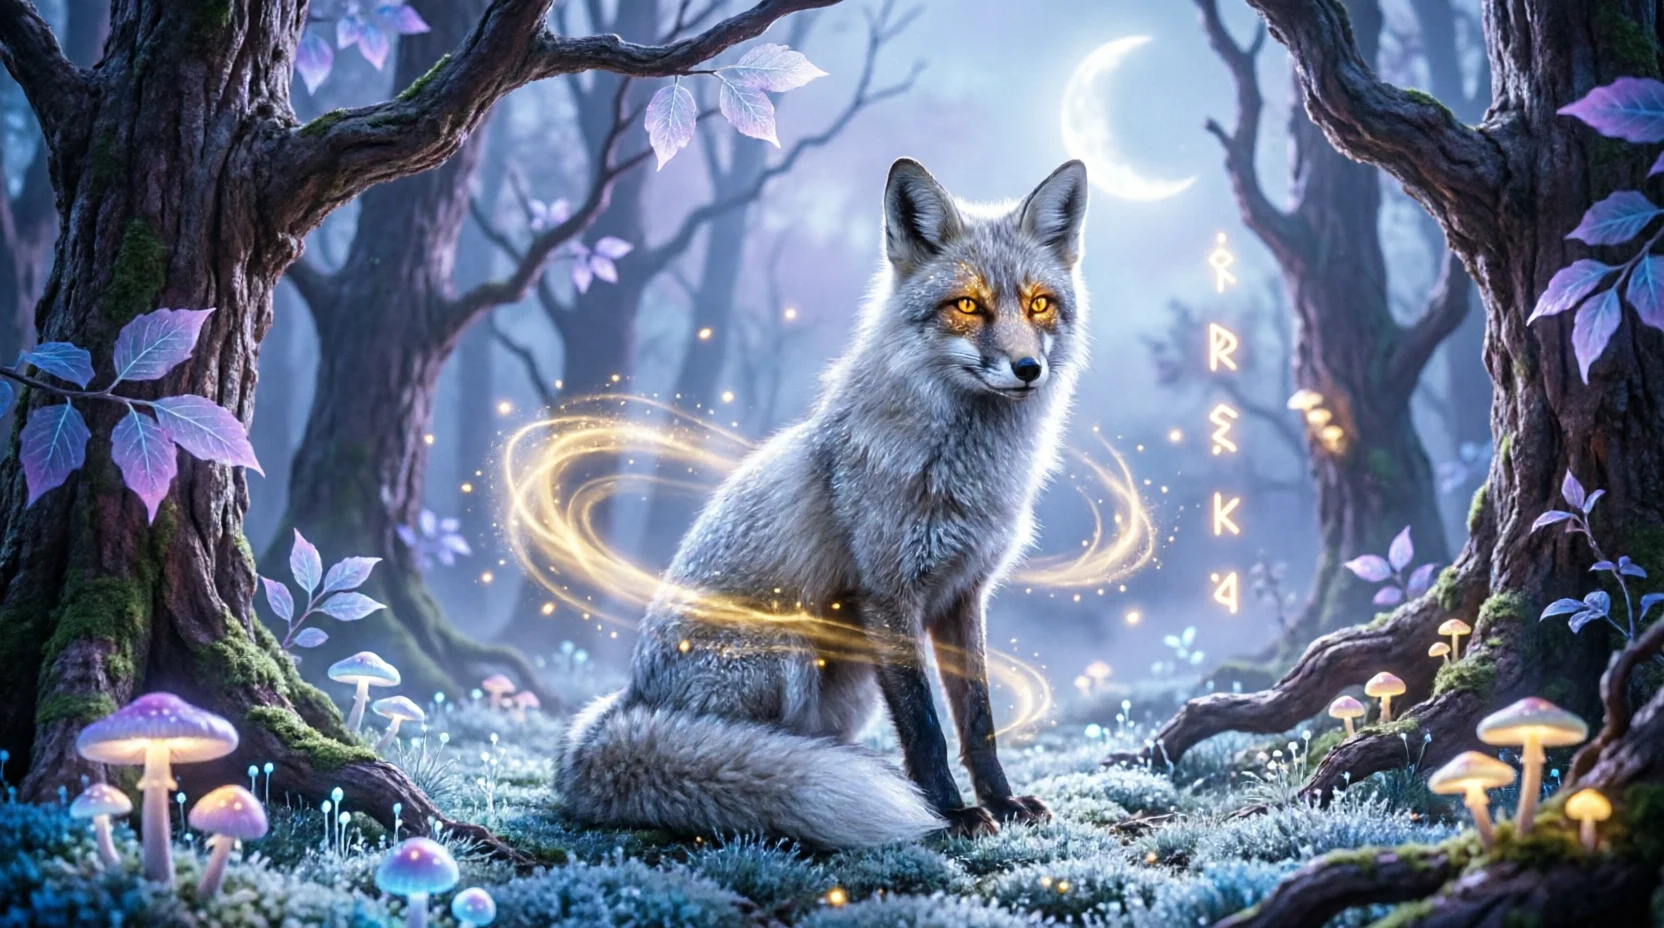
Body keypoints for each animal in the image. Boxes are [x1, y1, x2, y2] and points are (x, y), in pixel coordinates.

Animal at [558, 157, 1091, 849]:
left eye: (1039, 303)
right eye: (968, 305)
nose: (1028, 368)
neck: (963, 472)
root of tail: (629, 700)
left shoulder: (963, 594)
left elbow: (978, 721)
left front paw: (1002, 802)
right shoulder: (887, 594)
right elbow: (925, 729)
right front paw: (948, 816)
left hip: (849, 689)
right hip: (784, 650)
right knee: (749, 752)